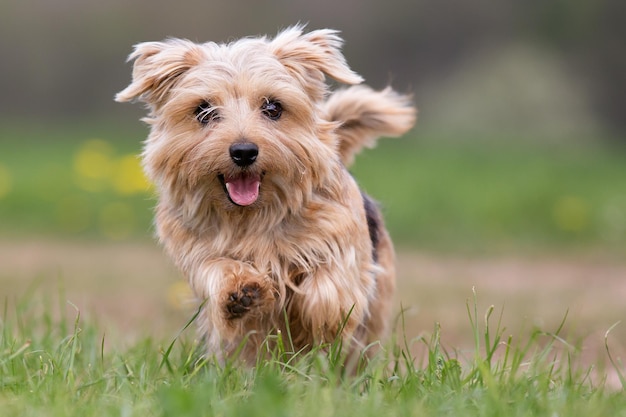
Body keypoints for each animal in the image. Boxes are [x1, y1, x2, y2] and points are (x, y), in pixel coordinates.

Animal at [116, 26, 414, 364]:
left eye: (273, 108)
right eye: (203, 110)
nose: (244, 151)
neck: (255, 214)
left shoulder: (344, 238)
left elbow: (329, 284)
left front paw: (320, 316)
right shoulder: (194, 249)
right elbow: (215, 269)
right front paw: (240, 290)